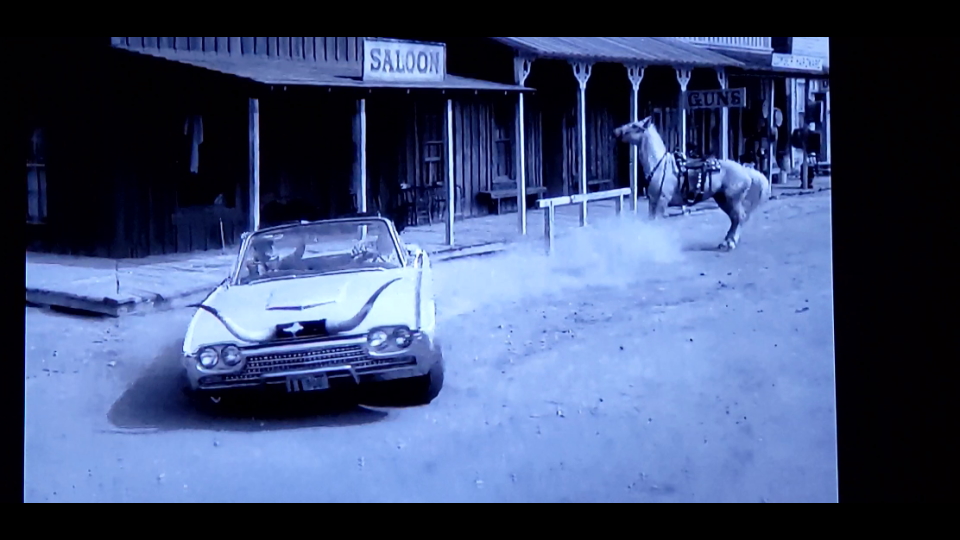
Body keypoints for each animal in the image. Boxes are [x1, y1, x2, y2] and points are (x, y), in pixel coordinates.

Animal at [616, 116, 772, 251]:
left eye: (635, 126)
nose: (616, 131)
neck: (660, 165)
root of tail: (745, 170)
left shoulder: (662, 200)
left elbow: (656, 222)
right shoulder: (653, 201)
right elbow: (650, 221)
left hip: (732, 200)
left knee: (739, 218)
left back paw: (730, 243)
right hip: (723, 200)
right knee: (735, 219)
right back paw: (726, 242)